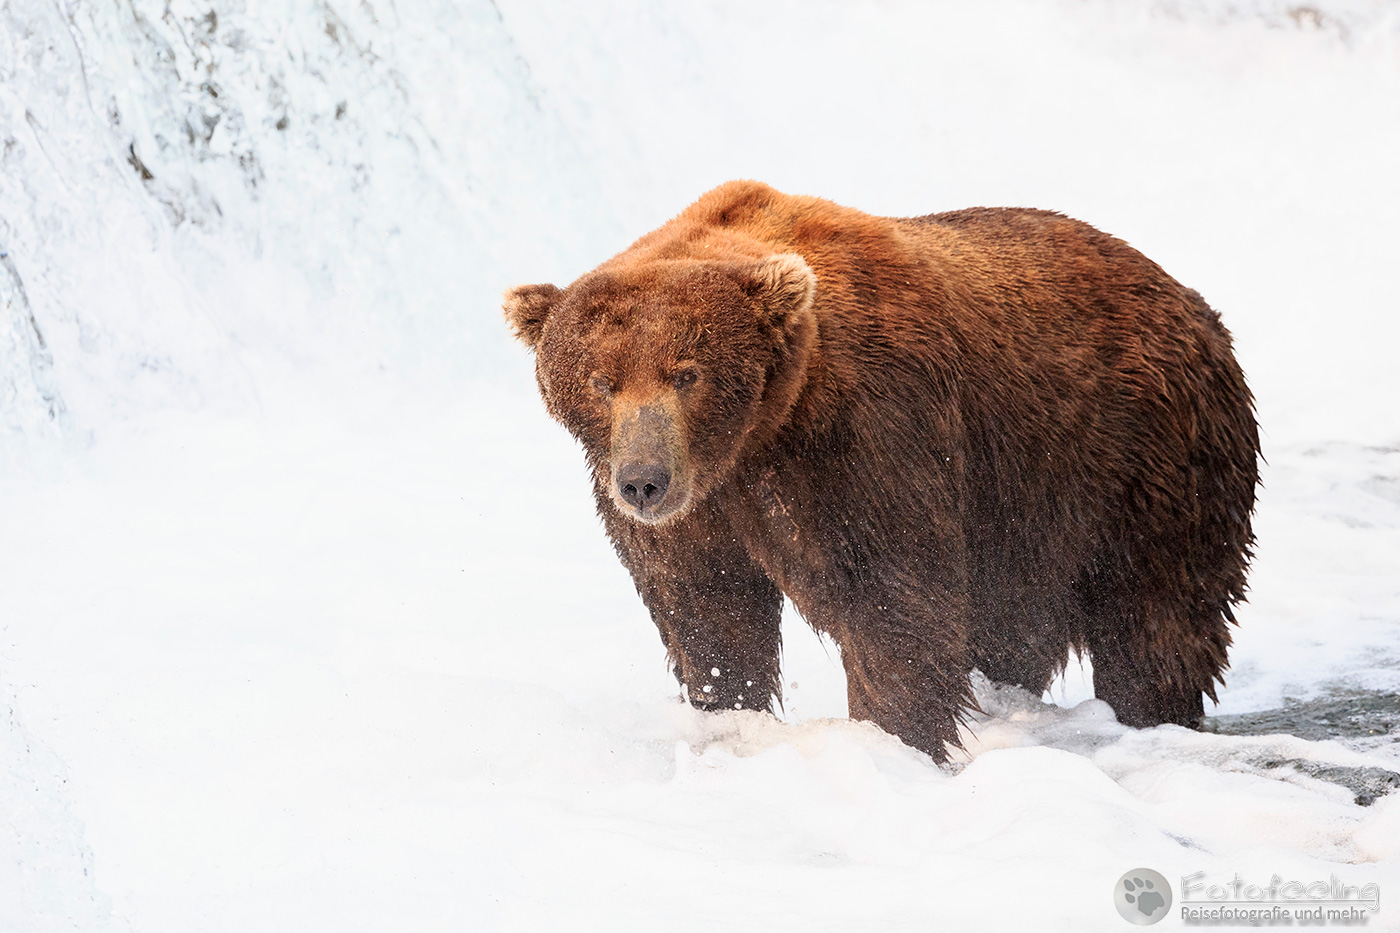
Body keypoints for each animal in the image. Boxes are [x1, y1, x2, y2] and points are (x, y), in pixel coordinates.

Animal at [503, 180, 1259, 763]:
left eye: (686, 372)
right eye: (601, 381)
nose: (644, 480)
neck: (755, 438)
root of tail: (1191, 302)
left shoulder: (869, 434)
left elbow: (891, 592)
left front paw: (896, 738)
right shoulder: (698, 505)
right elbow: (706, 605)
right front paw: (729, 713)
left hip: (1139, 453)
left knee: (1156, 611)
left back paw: (1151, 708)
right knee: (1016, 625)